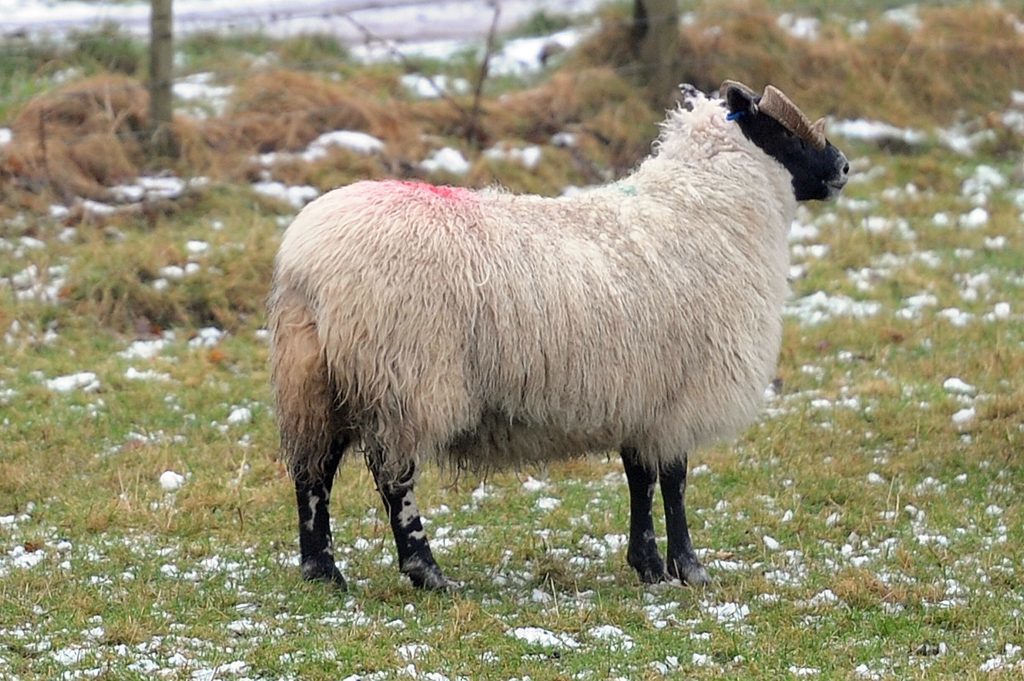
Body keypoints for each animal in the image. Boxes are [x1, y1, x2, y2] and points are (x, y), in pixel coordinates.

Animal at [268, 80, 851, 589]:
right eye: (788, 135)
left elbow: (640, 478)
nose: (844, 167)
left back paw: (322, 571)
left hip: (316, 376)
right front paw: (689, 568)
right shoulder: (677, 396)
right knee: (395, 480)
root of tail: (307, 263)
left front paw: (648, 566)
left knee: (312, 472)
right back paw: (427, 573)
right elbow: (674, 481)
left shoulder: (639, 394)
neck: (703, 212)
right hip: (406, 376)